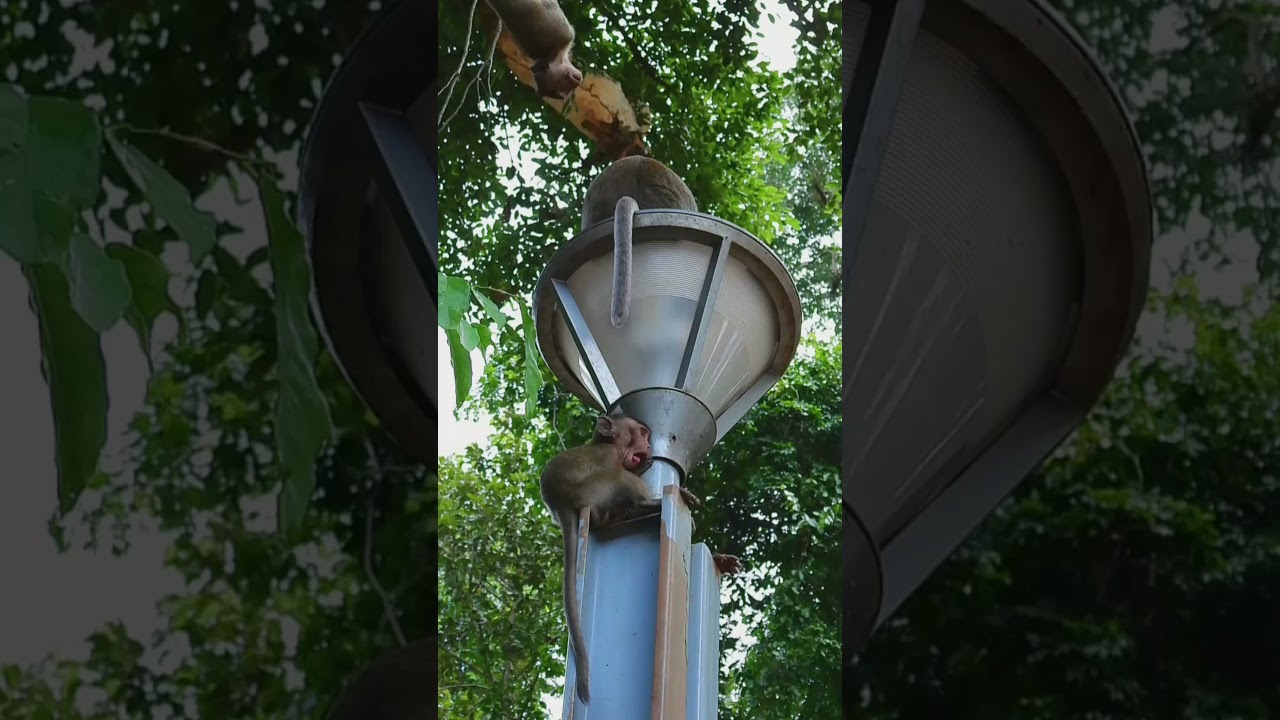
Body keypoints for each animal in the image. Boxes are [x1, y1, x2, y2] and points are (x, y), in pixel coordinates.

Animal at [540, 410, 701, 705]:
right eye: (642, 432)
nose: (648, 445)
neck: (610, 445)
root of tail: (562, 504)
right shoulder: (606, 458)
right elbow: (621, 474)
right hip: (591, 491)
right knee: (618, 479)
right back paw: (649, 503)